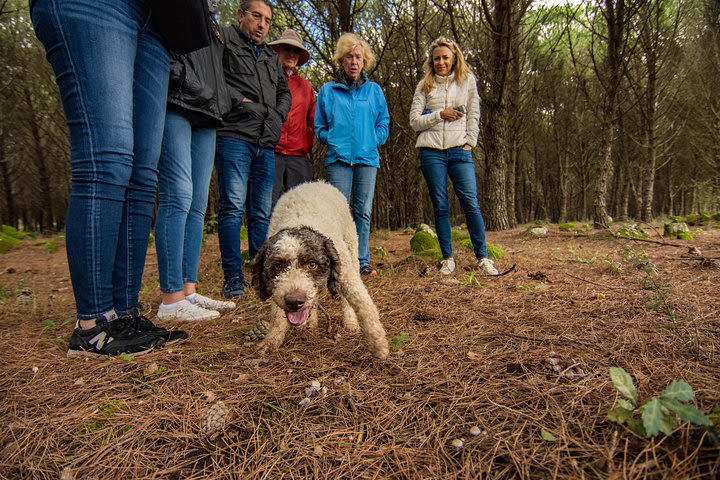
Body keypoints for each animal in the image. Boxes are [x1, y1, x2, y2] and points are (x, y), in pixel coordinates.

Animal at [252, 182, 390, 358]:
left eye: (312, 264)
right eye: (278, 266)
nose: (295, 301)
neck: (299, 221)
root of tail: (318, 182)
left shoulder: (345, 271)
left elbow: (364, 304)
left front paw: (378, 343)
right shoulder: (279, 289)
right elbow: (277, 314)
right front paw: (271, 340)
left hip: (351, 248)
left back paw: (350, 321)